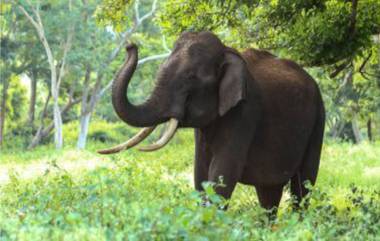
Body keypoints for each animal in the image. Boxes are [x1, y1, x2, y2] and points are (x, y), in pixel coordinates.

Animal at [99, 30, 326, 213]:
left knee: (303, 185)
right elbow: (201, 173)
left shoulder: (245, 111)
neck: (226, 50)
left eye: (190, 77)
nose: (130, 45)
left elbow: (222, 172)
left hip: (318, 120)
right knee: (269, 192)